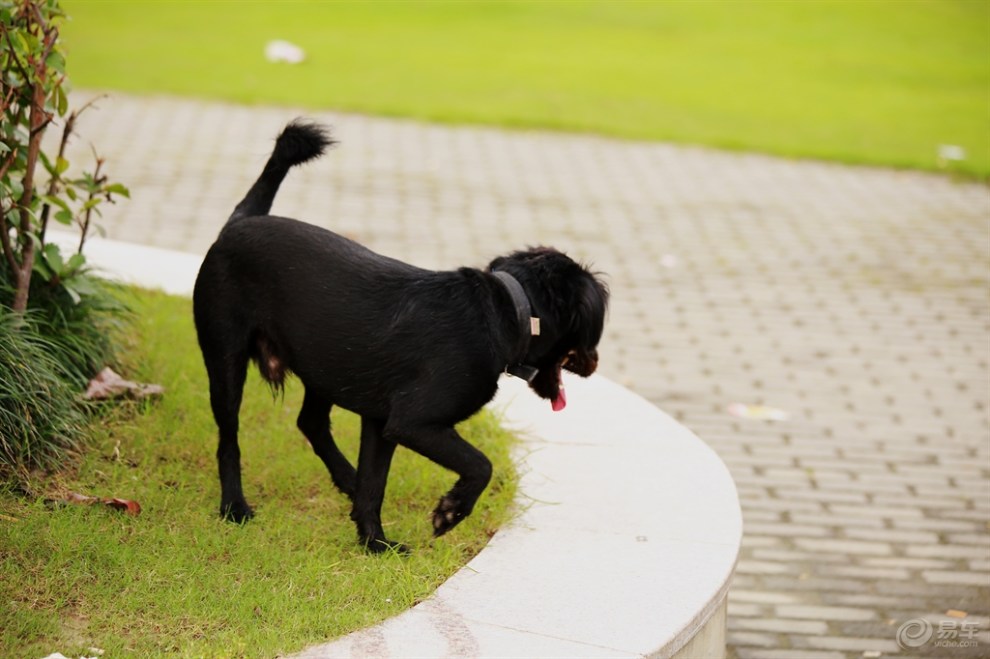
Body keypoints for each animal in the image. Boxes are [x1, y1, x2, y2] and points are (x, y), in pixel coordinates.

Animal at [193, 121, 608, 556]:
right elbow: (480, 463)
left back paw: (346, 479)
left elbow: (374, 485)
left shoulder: (380, 422)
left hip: (325, 364)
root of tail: (239, 222)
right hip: (226, 360)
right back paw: (234, 506)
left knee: (311, 424)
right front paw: (450, 512)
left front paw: (375, 543)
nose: (596, 362)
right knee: (229, 438)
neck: (508, 310)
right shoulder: (413, 422)